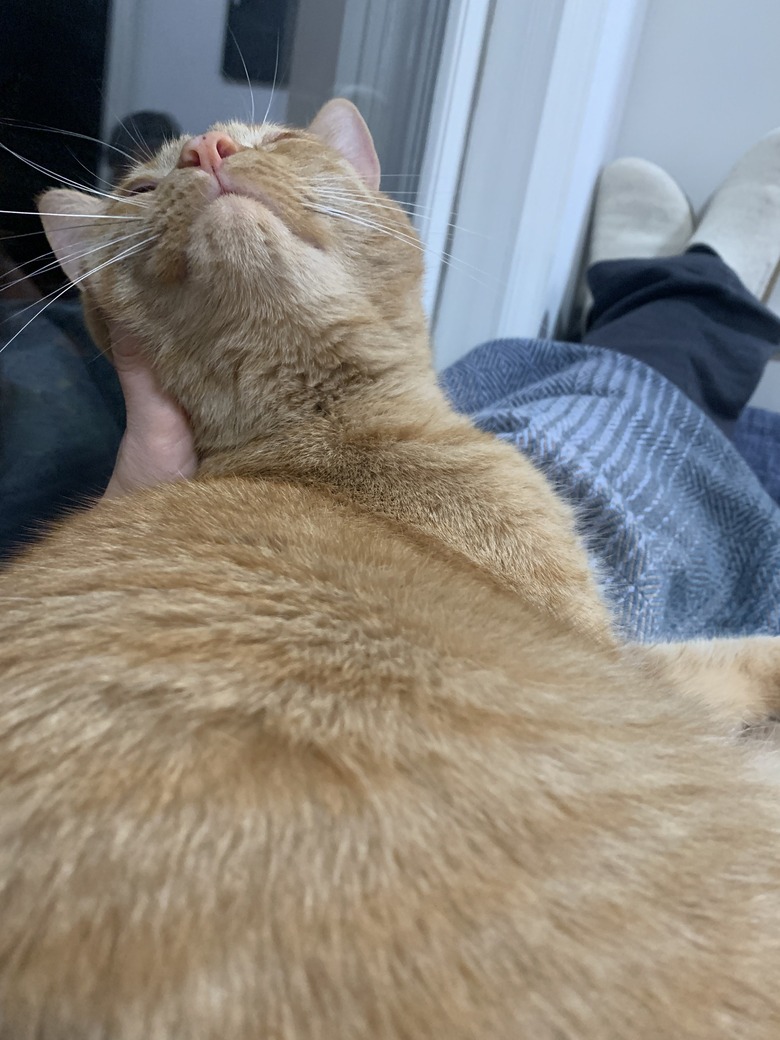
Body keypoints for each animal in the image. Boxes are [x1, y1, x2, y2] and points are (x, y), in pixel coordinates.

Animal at [1, 99, 780, 1040]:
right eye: (144, 187)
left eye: (277, 140)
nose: (208, 149)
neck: (330, 440)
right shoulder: (619, 659)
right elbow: (737, 657)